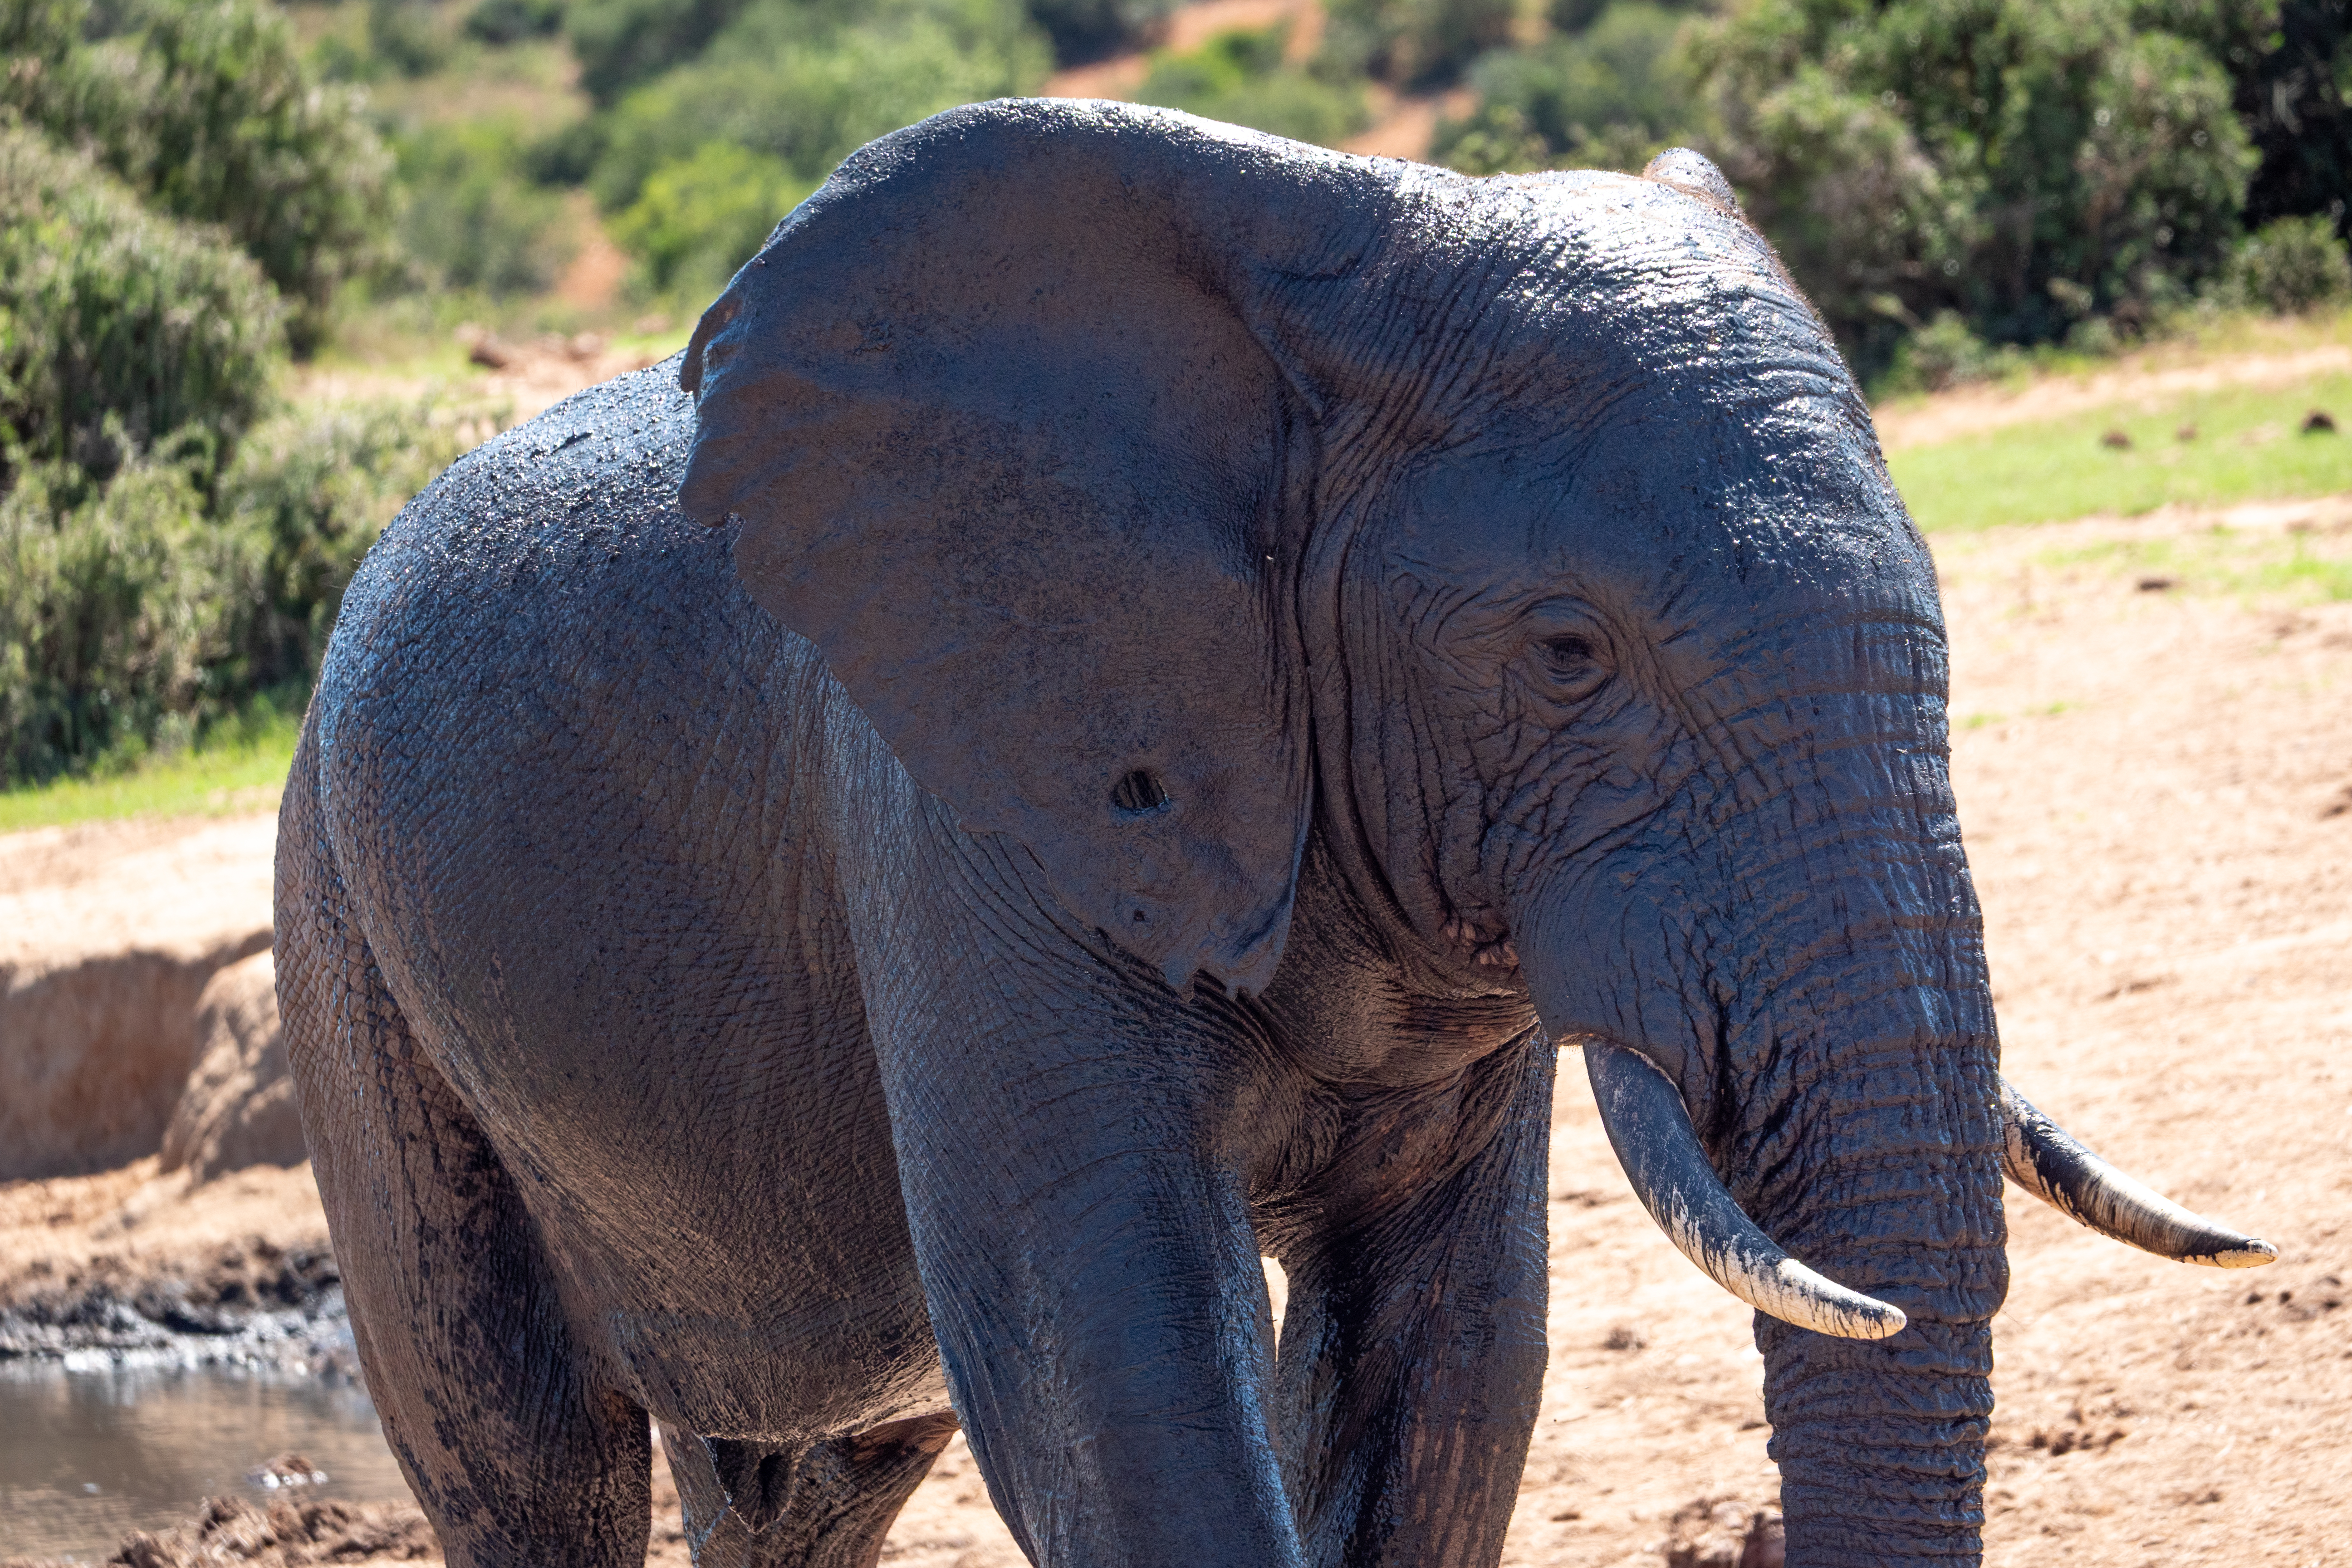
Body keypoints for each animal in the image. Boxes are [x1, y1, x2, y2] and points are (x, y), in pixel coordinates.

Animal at [276, 100, 2275, 1568]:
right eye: (1567, 653)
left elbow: (1448, 1366)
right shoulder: (963, 800)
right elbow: (1113, 1367)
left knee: (805, 1491)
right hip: (349, 948)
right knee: (529, 1463)